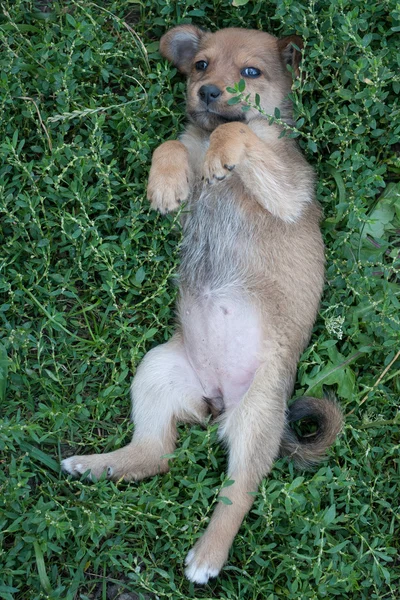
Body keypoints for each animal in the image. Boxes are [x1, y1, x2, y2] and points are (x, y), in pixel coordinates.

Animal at [63, 27, 344, 580]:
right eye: (200, 65)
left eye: (251, 72)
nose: (208, 92)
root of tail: (215, 400)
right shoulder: (190, 193)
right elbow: (173, 141)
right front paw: (165, 181)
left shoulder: (286, 191)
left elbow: (234, 135)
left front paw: (223, 145)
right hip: (156, 371)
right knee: (156, 452)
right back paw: (98, 465)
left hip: (258, 415)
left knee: (239, 494)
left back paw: (207, 556)